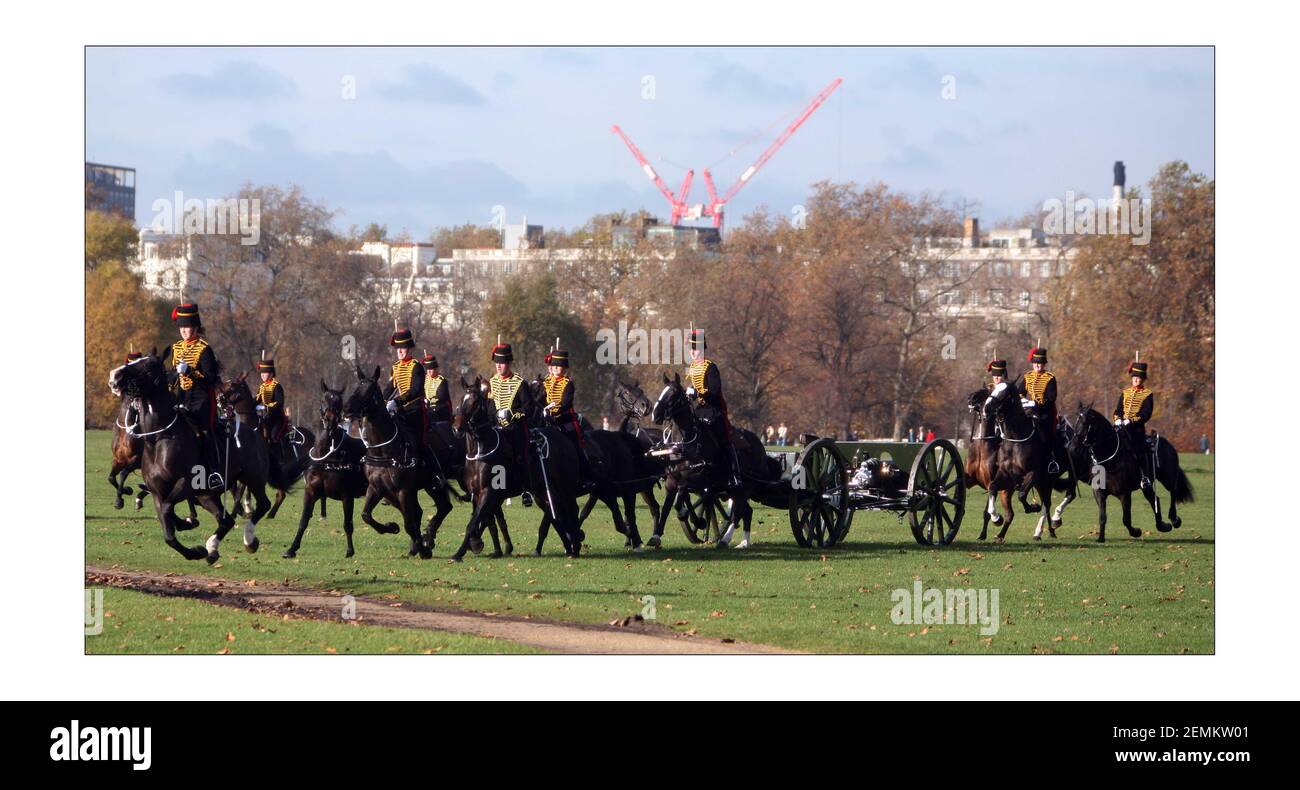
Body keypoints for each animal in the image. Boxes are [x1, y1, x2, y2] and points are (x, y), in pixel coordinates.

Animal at [110, 350, 273, 561]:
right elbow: (168, 532)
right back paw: (212, 548)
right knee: (226, 520)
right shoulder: (158, 492)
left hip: (253, 478)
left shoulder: (185, 484)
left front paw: (186, 524)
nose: (115, 376)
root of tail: (254, 433)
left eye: (149, 366)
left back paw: (249, 540)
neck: (158, 440)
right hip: (207, 494)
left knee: (263, 504)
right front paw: (194, 547)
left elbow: (167, 509)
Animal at [452, 376, 585, 561]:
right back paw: (569, 546)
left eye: (475, 401)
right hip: (544, 492)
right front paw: (483, 546)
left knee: (571, 510)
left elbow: (476, 522)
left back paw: (575, 546)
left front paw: (460, 552)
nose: (457, 428)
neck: (479, 451)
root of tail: (565, 440)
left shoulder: (488, 492)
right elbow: (486, 521)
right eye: (460, 401)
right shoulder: (478, 494)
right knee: (556, 515)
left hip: (565, 489)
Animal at [1071, 405, 1190, 540]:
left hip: (1167, 478)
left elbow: (1126, 519)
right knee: (1154, 499)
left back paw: (1174, 519)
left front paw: (1136, 532)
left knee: (1172, 492)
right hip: (1146, 487)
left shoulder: (1124, 493)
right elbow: (1102, 516)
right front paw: (1100, 538)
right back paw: (1163, 526)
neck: (1109, 460)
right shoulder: (1099, 493)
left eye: (1085, 423)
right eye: (1076, 422)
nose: (1072, 448)